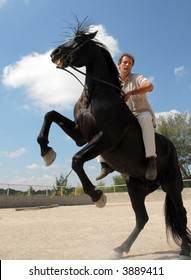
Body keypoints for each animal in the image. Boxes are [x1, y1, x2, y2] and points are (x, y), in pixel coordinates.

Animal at [36, 20, 190, 260]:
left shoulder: (106, 139)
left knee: (180, 213)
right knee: (142, 218)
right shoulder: (82, 136)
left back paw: (184, 249)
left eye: (79, 41)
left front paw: (97, 196)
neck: (95, 97)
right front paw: (47, 153)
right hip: (136, 186)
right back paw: (120, 249)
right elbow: (49, 114)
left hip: (172, 184)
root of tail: (170, 146)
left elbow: (76, 160)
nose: (55, 53)